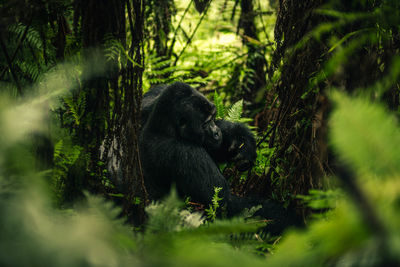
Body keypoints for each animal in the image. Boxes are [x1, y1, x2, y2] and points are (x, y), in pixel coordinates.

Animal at [141, 82, 300, 236]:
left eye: (213, 118)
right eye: (205, 123)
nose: (216, 133)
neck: (165, 128)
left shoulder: (150, 103)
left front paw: (241, 142)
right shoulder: (188, 154)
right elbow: (227, 205)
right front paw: (288, 220)